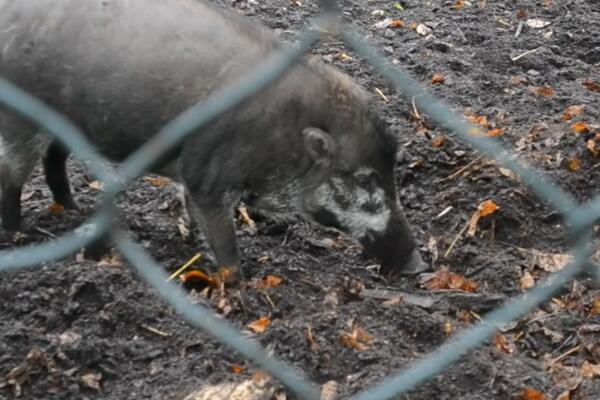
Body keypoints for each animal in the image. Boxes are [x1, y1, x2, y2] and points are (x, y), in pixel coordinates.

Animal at [0, 0, 426, 280]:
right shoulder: (208, 177)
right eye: (364, 180)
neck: (286, 137)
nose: (417, 265)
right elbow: (224, 242)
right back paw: (17, 233)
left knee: (53, 160)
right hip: (21, 120)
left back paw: (71, 210)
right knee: (13, 176)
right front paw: (237, 287)